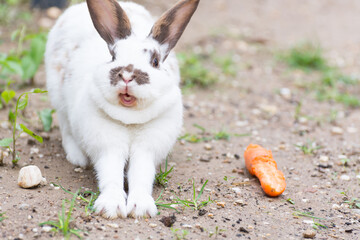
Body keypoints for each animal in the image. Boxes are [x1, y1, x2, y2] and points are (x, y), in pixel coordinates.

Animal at [45, 0, 200, 218]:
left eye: (155, 61)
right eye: (113, 56)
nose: (127, 75)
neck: (130, 118)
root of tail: (76, 8)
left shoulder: (146, 149)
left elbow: (141, 175)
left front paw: (140, 208)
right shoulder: (108, 146)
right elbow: (110, 174)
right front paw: (111, 207)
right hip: (58, 97)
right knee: (66, 128)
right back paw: (78, 158)